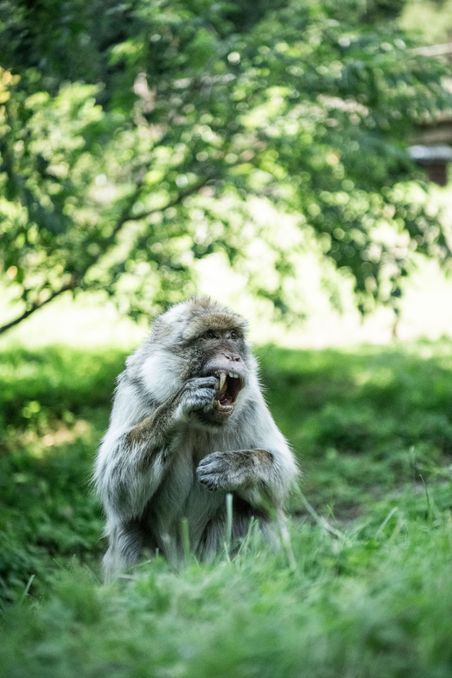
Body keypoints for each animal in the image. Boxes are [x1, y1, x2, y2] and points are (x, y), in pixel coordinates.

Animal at [94, 297, 298, 579]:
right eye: (210, 336)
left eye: (233, 336)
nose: (234, 356)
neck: (201, 421)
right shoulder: (136, 391)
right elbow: (116, 489)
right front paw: (178, 406)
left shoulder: (252, 402)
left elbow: (280, 475)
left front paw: (232, 467)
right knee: (129, 524)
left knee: (253, 511)